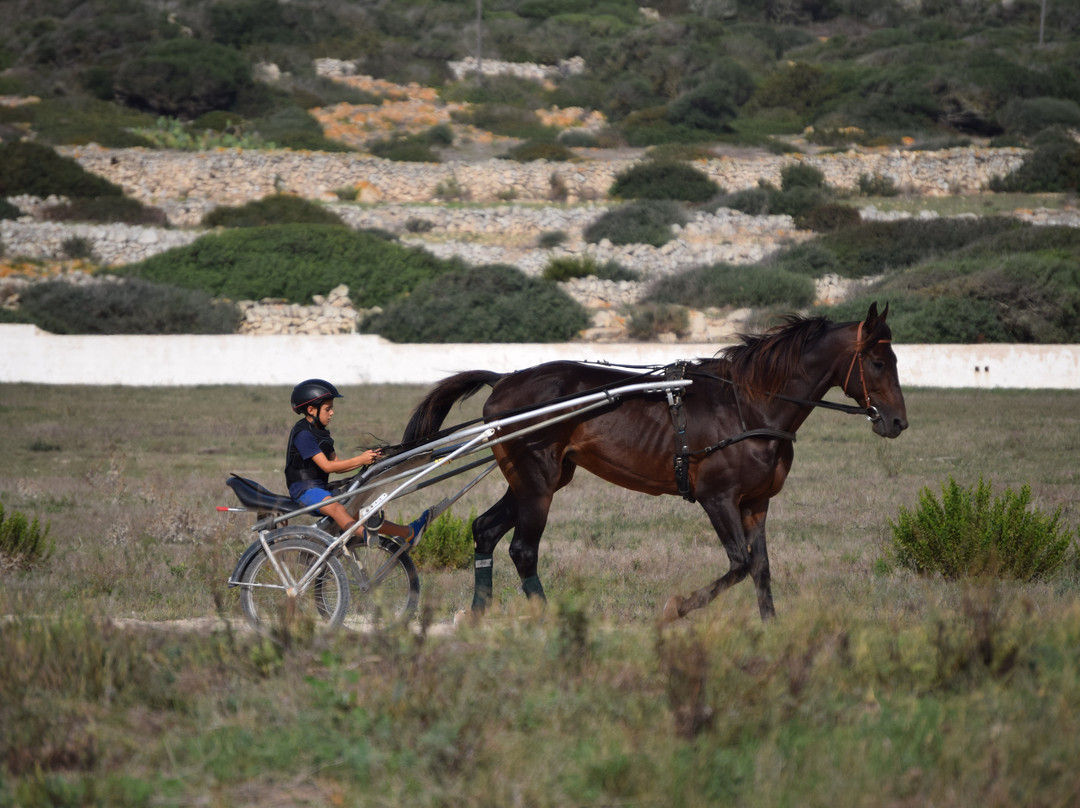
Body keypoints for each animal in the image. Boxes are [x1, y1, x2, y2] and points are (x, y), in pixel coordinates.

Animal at [401, 300, 907, 622]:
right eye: (879, 363)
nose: (898, 421)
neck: (749, 405)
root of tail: (505, 378)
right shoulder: (717, 498)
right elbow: (739, 565)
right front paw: (675, 608)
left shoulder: (755, 503)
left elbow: (761, 570)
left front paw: (771, 632)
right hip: (536, 481)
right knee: (523, 551)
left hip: (537, 479)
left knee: (485, 530)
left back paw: (479, 615)